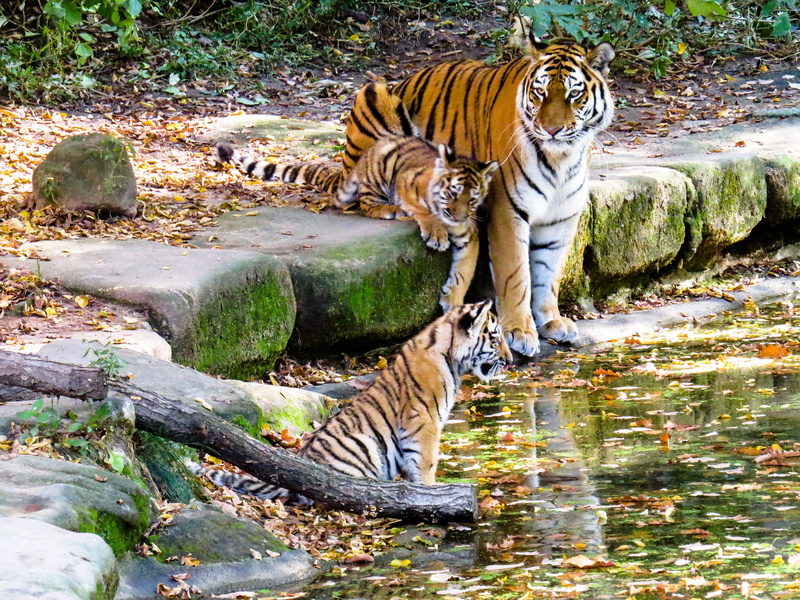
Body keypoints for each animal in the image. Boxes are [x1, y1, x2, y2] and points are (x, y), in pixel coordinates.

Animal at [193, 300, 511, 503]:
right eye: (495, 340)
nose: (510, 361)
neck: (451, 357)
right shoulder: (424, 422)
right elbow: (426, 462)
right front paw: (431, 492)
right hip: (363, 447)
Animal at [217, 134, 499, 311]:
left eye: (473, 199)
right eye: (452, 193)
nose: (458, 216)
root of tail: (364, 157)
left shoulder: (469, 235)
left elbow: (464, 273)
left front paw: (453, 300)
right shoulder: (406, 181)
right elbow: (423, 210)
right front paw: (435, 233)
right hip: (381, 172)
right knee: (366, 204)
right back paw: (391, 209)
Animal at [343, 37, 615, 357]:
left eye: (574, 94)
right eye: (540, 92)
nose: (551, 129)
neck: (562, 158)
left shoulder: (562, 218)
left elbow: (550, 271)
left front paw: (552, 320)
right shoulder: (508, 210)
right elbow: (516, 274)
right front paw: (520, 330)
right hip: (374, 96)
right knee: (369, 193)